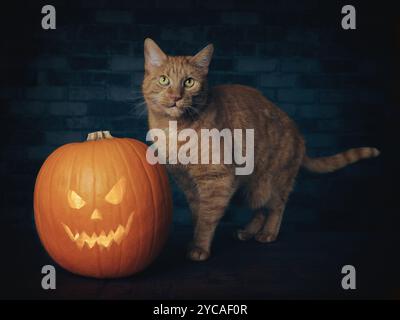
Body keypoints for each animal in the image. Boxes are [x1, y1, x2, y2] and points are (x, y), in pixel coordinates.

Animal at [142, 38, 380, 262]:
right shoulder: (187, 182)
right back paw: (248, 232)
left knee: (276, 207)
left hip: (273, 181)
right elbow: (197, 214)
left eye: (189, 82)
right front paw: (194, 240)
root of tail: (300, 136)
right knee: (260, 210)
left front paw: (199, 248)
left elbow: (207, 217)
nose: (175, 97)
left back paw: (268, 234)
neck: (173, 129)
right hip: (251, 185)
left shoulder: (217, 178)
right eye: (164, 80)